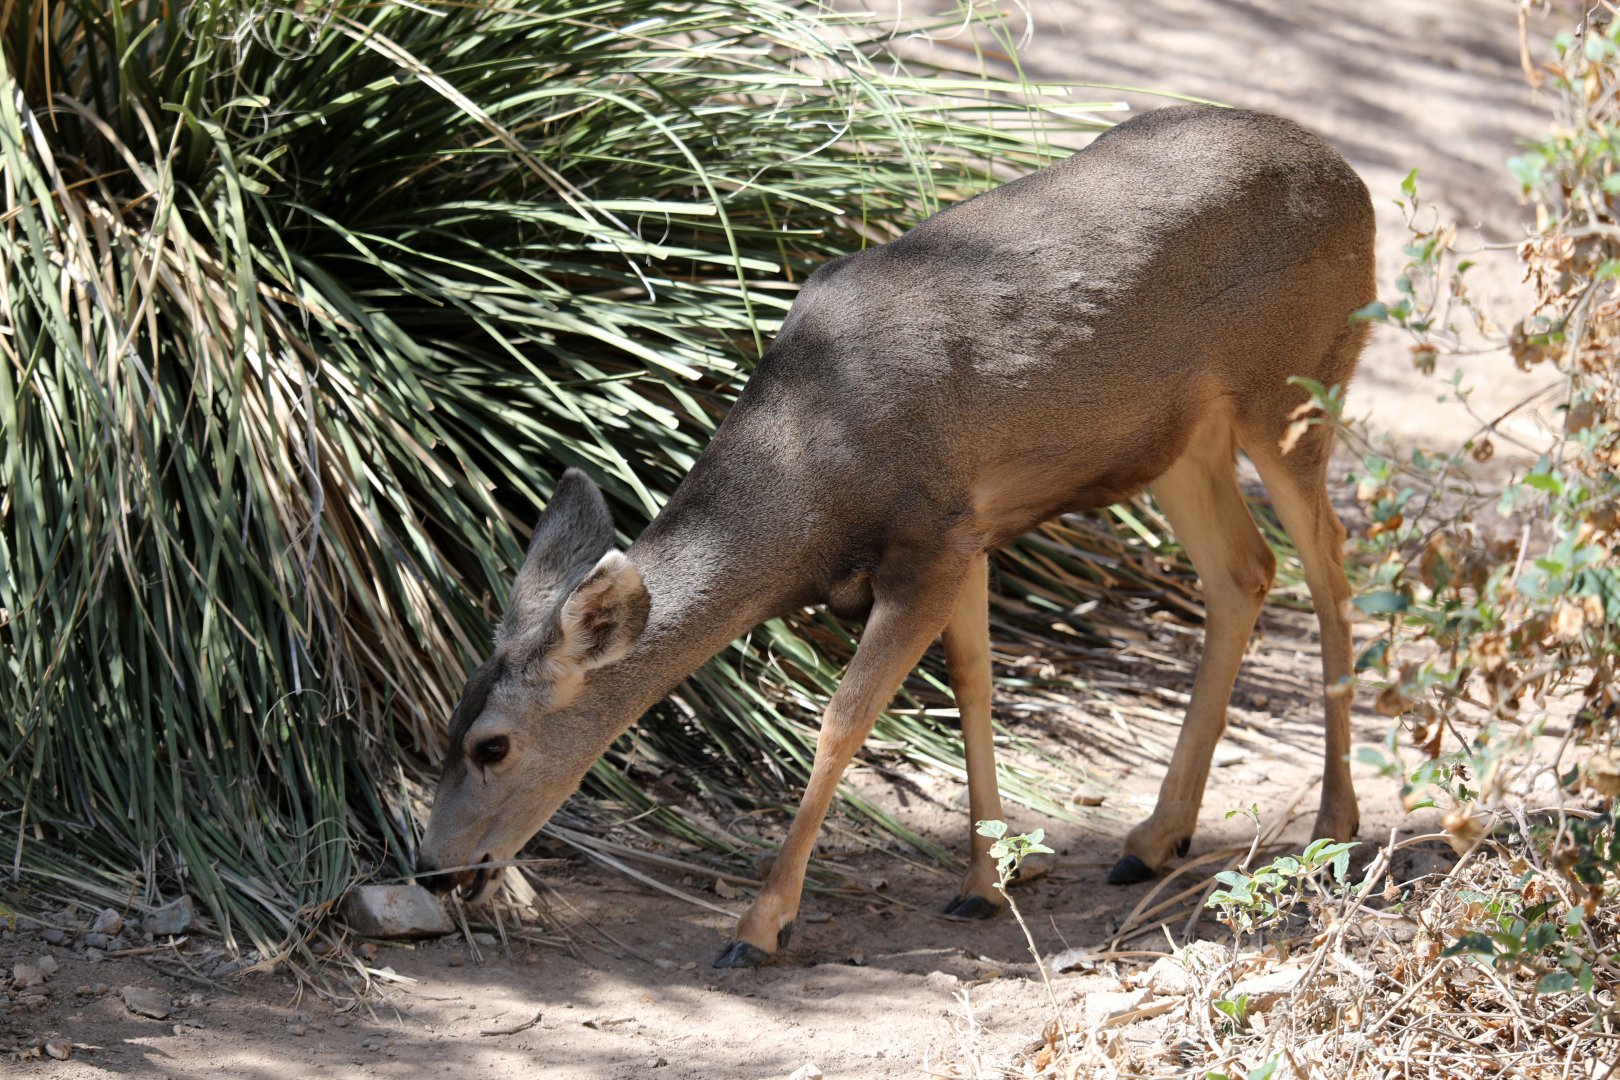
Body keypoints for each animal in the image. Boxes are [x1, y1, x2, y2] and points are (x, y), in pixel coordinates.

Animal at [419, 105, 1373, 968]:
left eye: (492, 745)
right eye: (447, 722)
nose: (431, 870)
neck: (815, 463)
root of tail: (1352, 181)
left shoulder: (932, 538)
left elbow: (844, 719)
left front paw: (759, 927)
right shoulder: (969, 534)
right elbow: (974, 685)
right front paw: (986, 882)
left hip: (1294, 387)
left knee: (1332, 567)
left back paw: (1334, 827)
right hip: (1179, 436)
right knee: (1244, 569)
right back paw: (1154, 840)